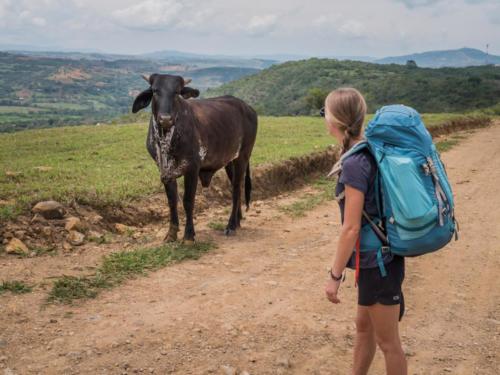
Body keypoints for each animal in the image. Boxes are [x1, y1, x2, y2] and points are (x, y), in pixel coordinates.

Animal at [133, 74, 258, 244]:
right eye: (155, 91)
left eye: (177, 92)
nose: (165, 119)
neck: (167, 138)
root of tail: (248, 107)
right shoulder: (164, 171)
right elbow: (172, 200)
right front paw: (171, 233)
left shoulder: (192, 168)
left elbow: (188, 201)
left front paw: (188, 236)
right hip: (230, 161)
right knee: (236, 187)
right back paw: (237, 220)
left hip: (243, 156)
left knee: (237, 189)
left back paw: (231, 225)